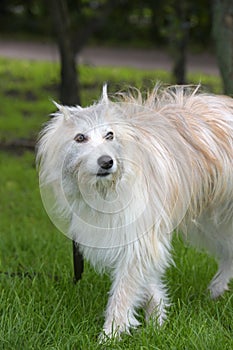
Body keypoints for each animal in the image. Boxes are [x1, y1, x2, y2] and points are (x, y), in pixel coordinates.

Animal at [36, 85, 233, 340]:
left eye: (109, 135)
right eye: (80, 138)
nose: (106, 162)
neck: (106, 189)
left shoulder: (140, 236)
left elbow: (124, 290)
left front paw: (111, 333)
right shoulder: (127, 237)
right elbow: (145, 281)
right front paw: (157, 318)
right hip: (211, 221)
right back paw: (216, 291)